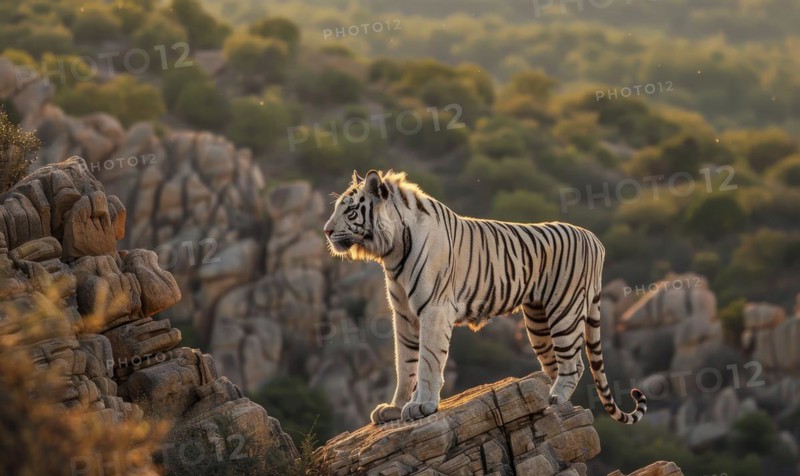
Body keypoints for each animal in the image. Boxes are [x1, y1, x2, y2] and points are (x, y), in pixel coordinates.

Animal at [323, 170, 646, 424]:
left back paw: (555, 399)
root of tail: (595, 239)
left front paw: (421, 406)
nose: (326, 231)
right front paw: (395, 408)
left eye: (350, 211)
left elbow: (428, 360)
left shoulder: (434, 309)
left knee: (573, 364)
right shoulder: (403, 314)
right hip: (538, 320)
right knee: (559, 363)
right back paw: (553, 398)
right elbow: (405, 362)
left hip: (564, 310)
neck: (391, 251)